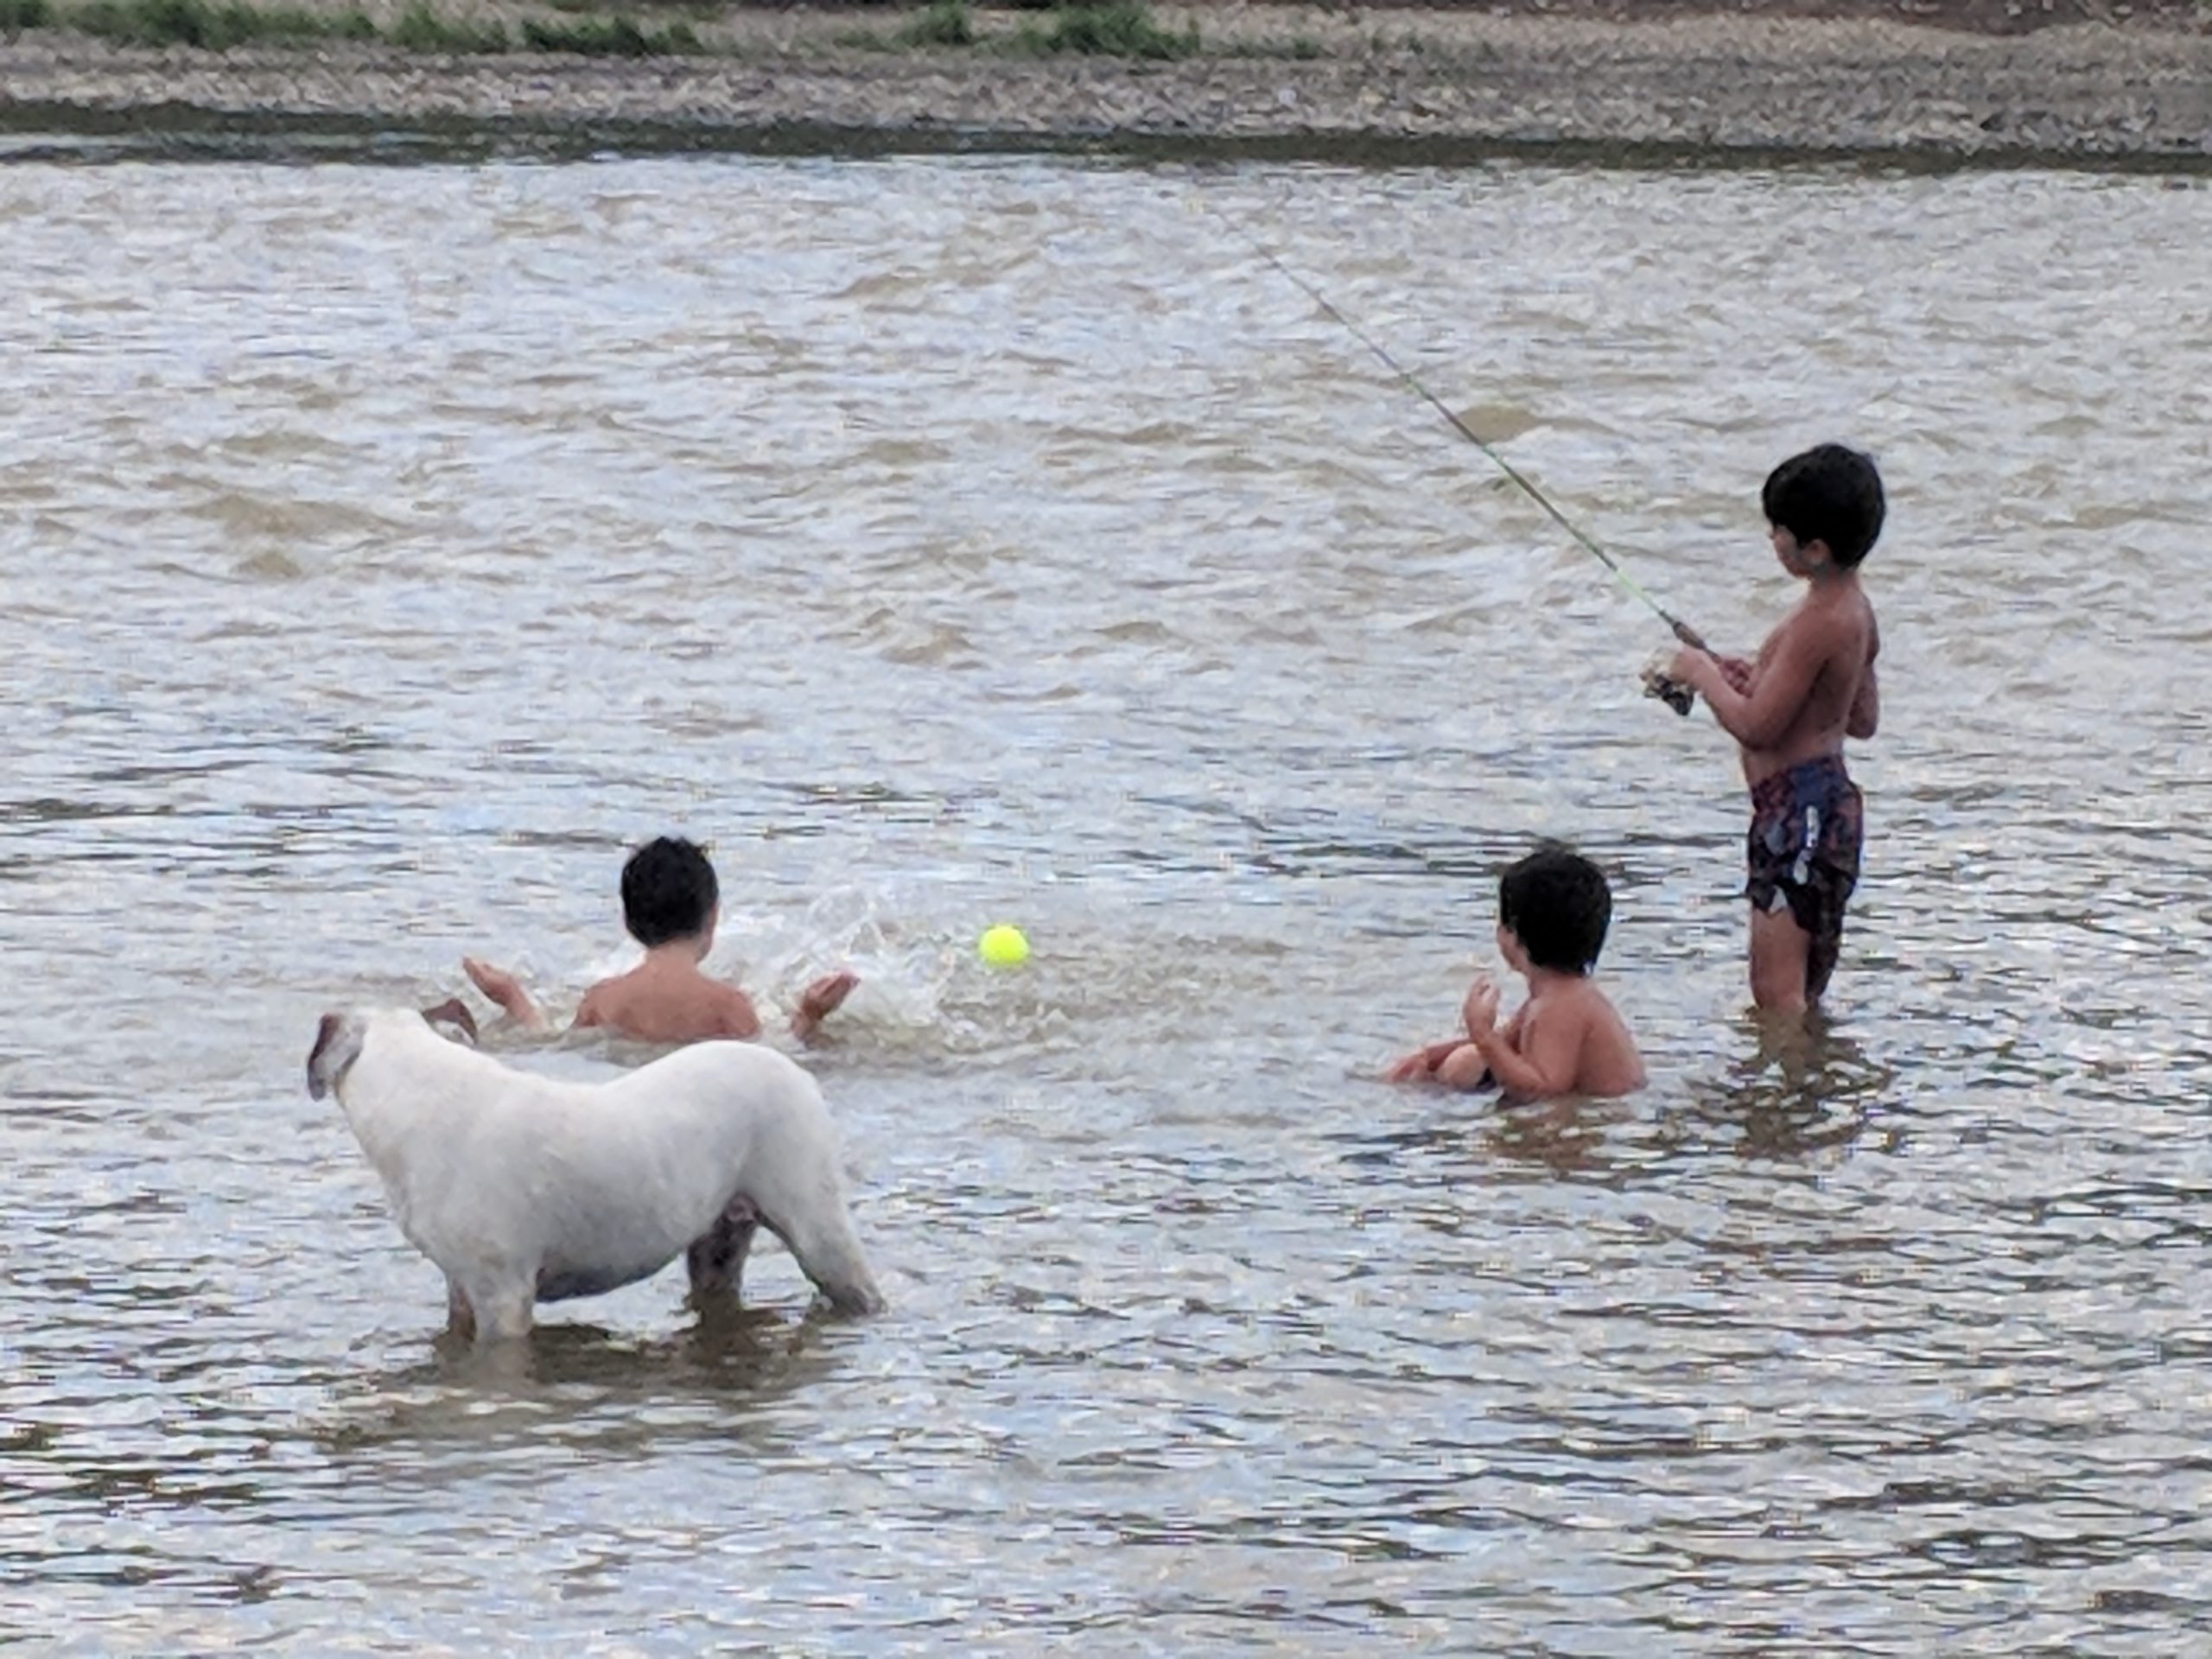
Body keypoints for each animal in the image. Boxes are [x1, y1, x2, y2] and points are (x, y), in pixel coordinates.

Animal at [305, 1008, 889, 1344]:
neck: (416, 1090)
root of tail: (797, 1073)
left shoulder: (503, 1295)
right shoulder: (462, 1288)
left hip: (817, 1231)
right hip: (718, 1241)